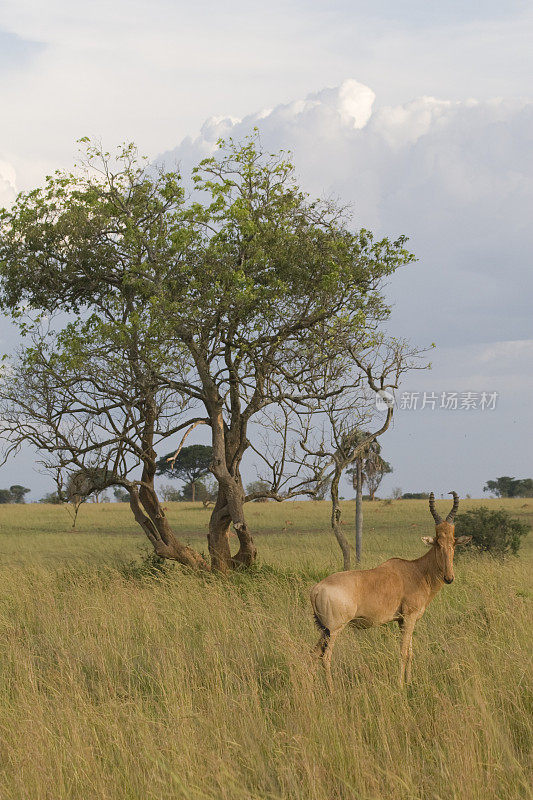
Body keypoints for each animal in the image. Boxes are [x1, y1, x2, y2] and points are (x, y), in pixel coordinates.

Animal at [310, 490, 472, 692]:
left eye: (453, 542)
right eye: (437, 543)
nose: (449, 578)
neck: (417, 570)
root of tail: (316, 590)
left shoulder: (404, 621)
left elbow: (410, 652)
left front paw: (410, 682)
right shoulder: (409, 617)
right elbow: (403, 652)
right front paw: (400, 685)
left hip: (324, 630)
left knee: (314, 654)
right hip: (335, 629)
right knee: (326, 657)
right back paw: (332, 691)